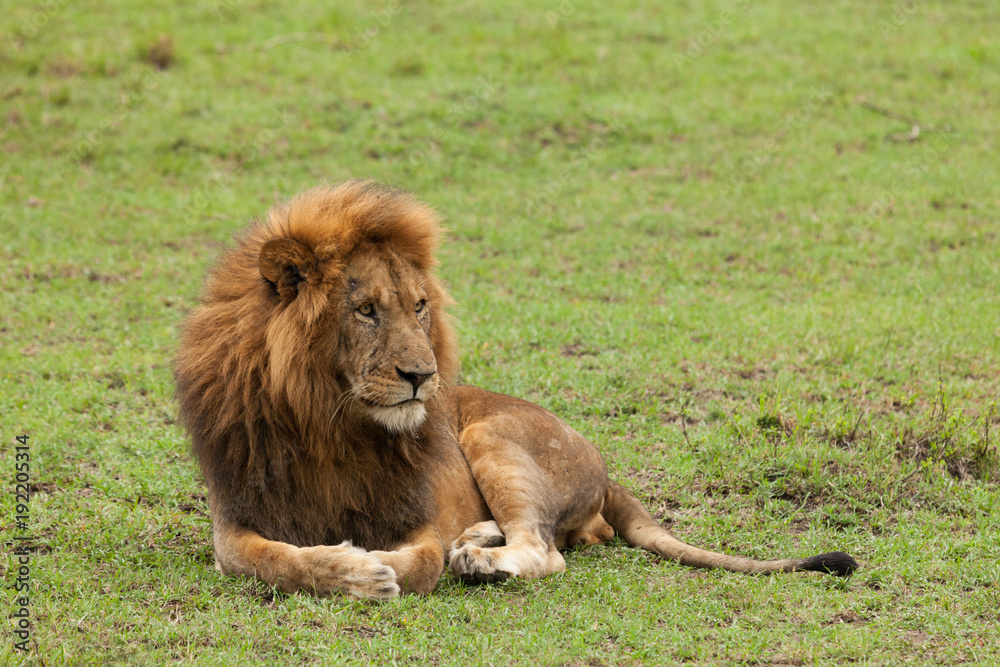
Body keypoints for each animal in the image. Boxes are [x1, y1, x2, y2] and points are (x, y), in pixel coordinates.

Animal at [174, 180, 857, 598]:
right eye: (365, 311)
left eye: (419, 307)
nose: (423, 377)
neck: (329, 423)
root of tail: (605, 470)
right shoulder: (234, 522)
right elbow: (274, 559)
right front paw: (349, 569)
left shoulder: (416, 517)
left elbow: (420, 560)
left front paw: (375, 569)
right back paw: (476, 539)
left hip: (493, 434)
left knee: (546, 549)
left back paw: (478, 557)